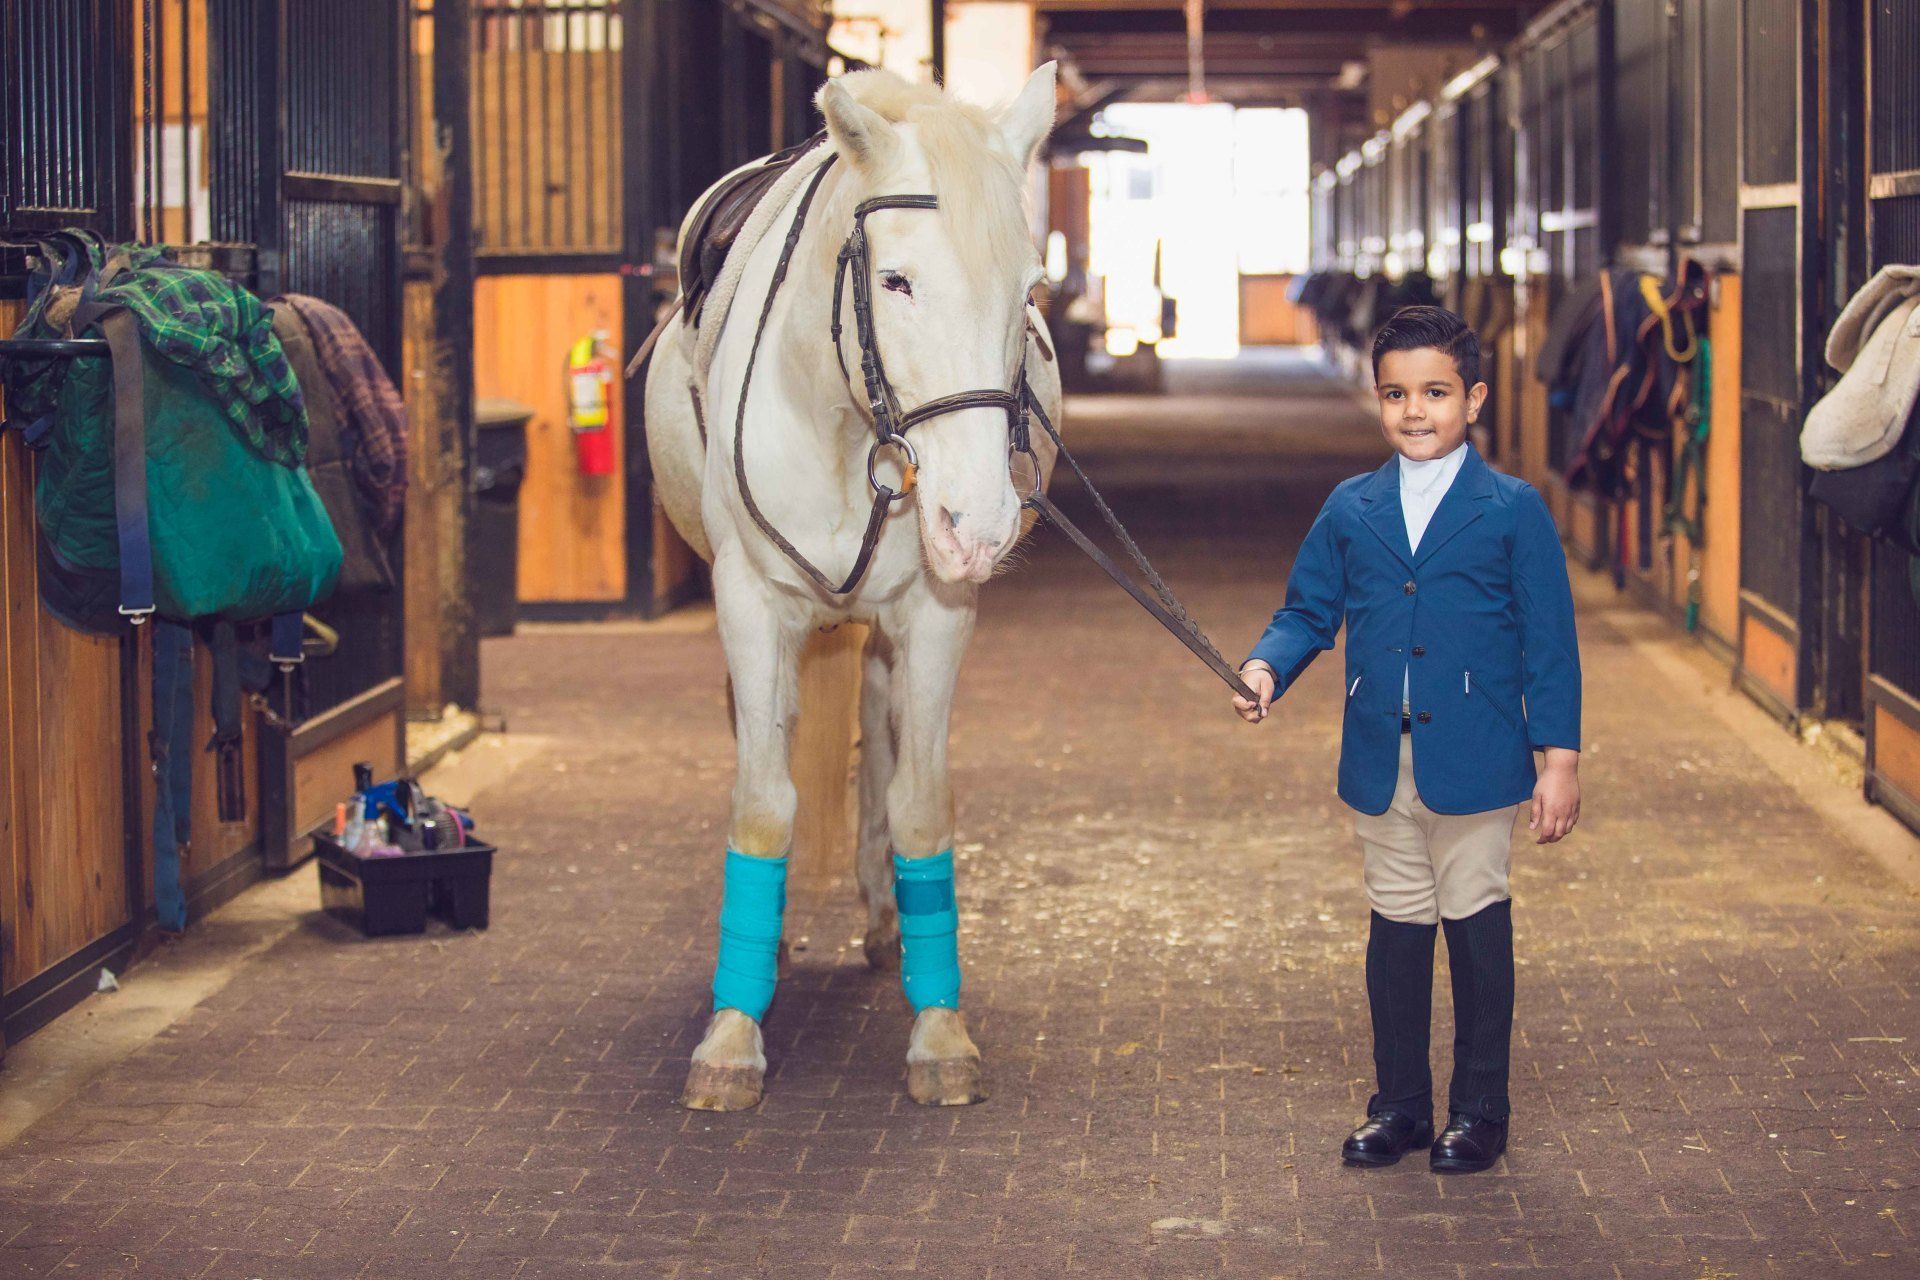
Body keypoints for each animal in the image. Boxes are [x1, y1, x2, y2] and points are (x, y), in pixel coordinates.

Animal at [641, 64, 1063, 1111]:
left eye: (1027, 291)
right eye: (896, 280)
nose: (977, 522)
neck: (846, 428)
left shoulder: (935, 615)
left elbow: (921, 801)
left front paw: (941, 1032)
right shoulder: (751, 607)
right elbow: (762, 802)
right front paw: (731, 1039)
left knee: (879, 730)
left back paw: (882, 919)